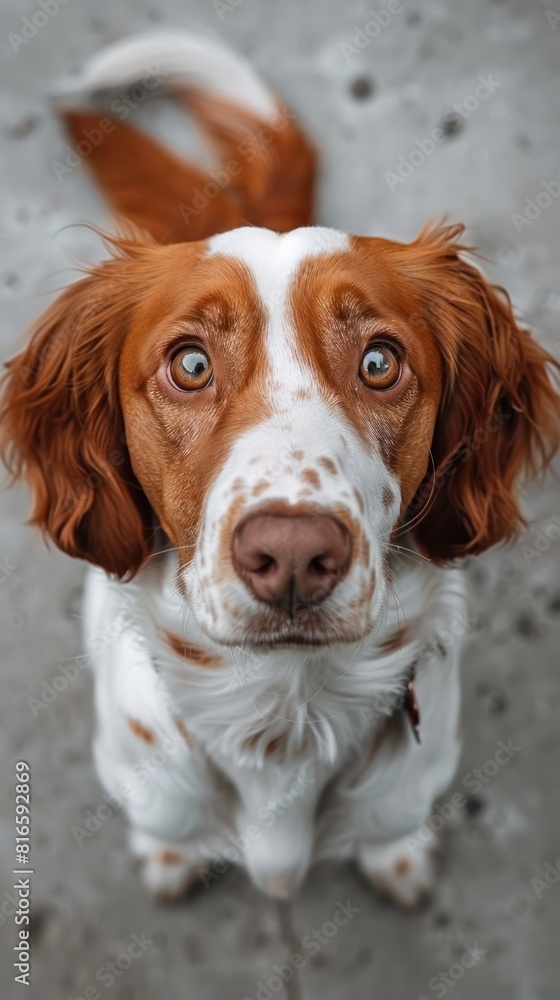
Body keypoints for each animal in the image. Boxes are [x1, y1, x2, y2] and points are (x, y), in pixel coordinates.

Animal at [1, 33, 560, 908]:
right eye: (190, 364)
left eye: (379, 361)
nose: (294, 554)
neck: (286, 718)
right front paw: (169, 858)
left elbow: (392, 827)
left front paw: (397, 857)